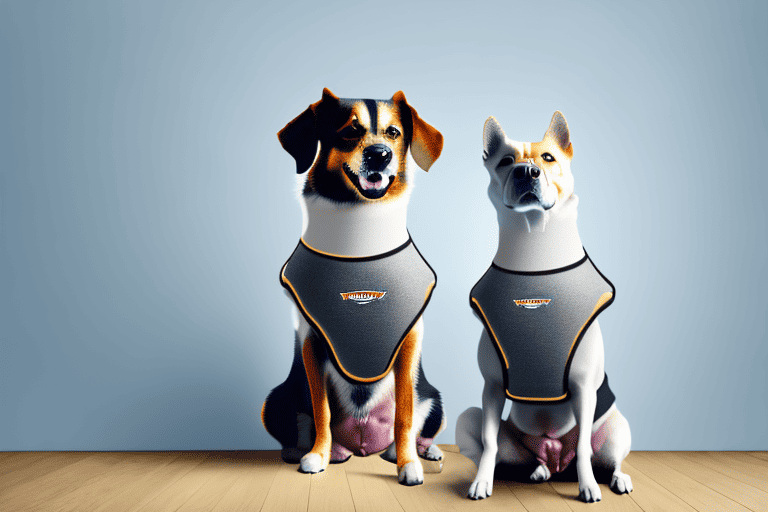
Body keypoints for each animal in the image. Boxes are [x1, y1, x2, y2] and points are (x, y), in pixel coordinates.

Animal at [262, 87, 444, 484]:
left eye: (393, 133)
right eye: (349, 130)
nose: (380, 154)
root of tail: (362, 446)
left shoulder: (409, 342)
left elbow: (405, 414)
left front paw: (408, 464)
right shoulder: (311, 340)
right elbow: (322, 411)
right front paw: (317, 455)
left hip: (435, 400)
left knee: (416, 423)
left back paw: (418, 452)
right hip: (276, 400)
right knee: (300, 424)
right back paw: (312, 452)